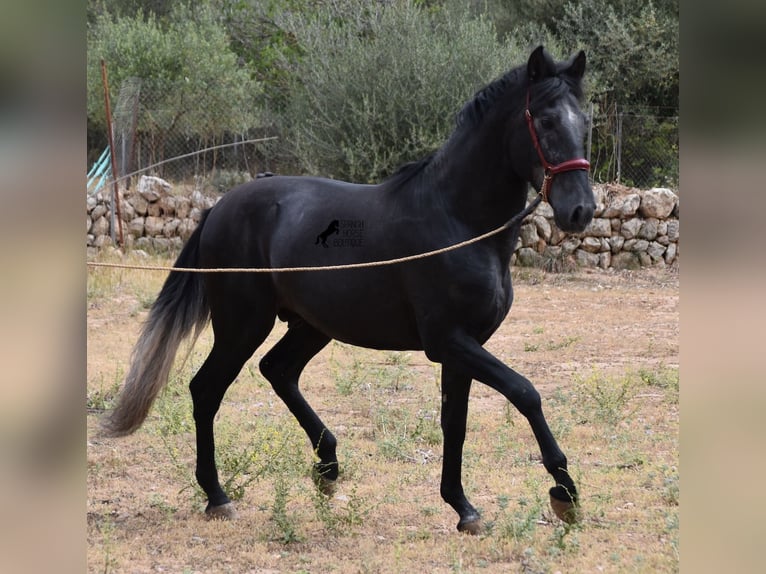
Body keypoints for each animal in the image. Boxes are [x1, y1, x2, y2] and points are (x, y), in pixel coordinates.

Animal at [105, 46, 596, 536]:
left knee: (277, 370)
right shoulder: (449, 341)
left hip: (311, 326)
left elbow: (454, 424)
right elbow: (525, 392)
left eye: (586, 121)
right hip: (242, 325)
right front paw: (564, 493)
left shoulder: (463, 346)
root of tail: (220, 207)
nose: (581, 211)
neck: (457, 222)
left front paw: (463, 507)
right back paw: (218, 496)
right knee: (207, 389)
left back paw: (327, 467)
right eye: (546, 121)